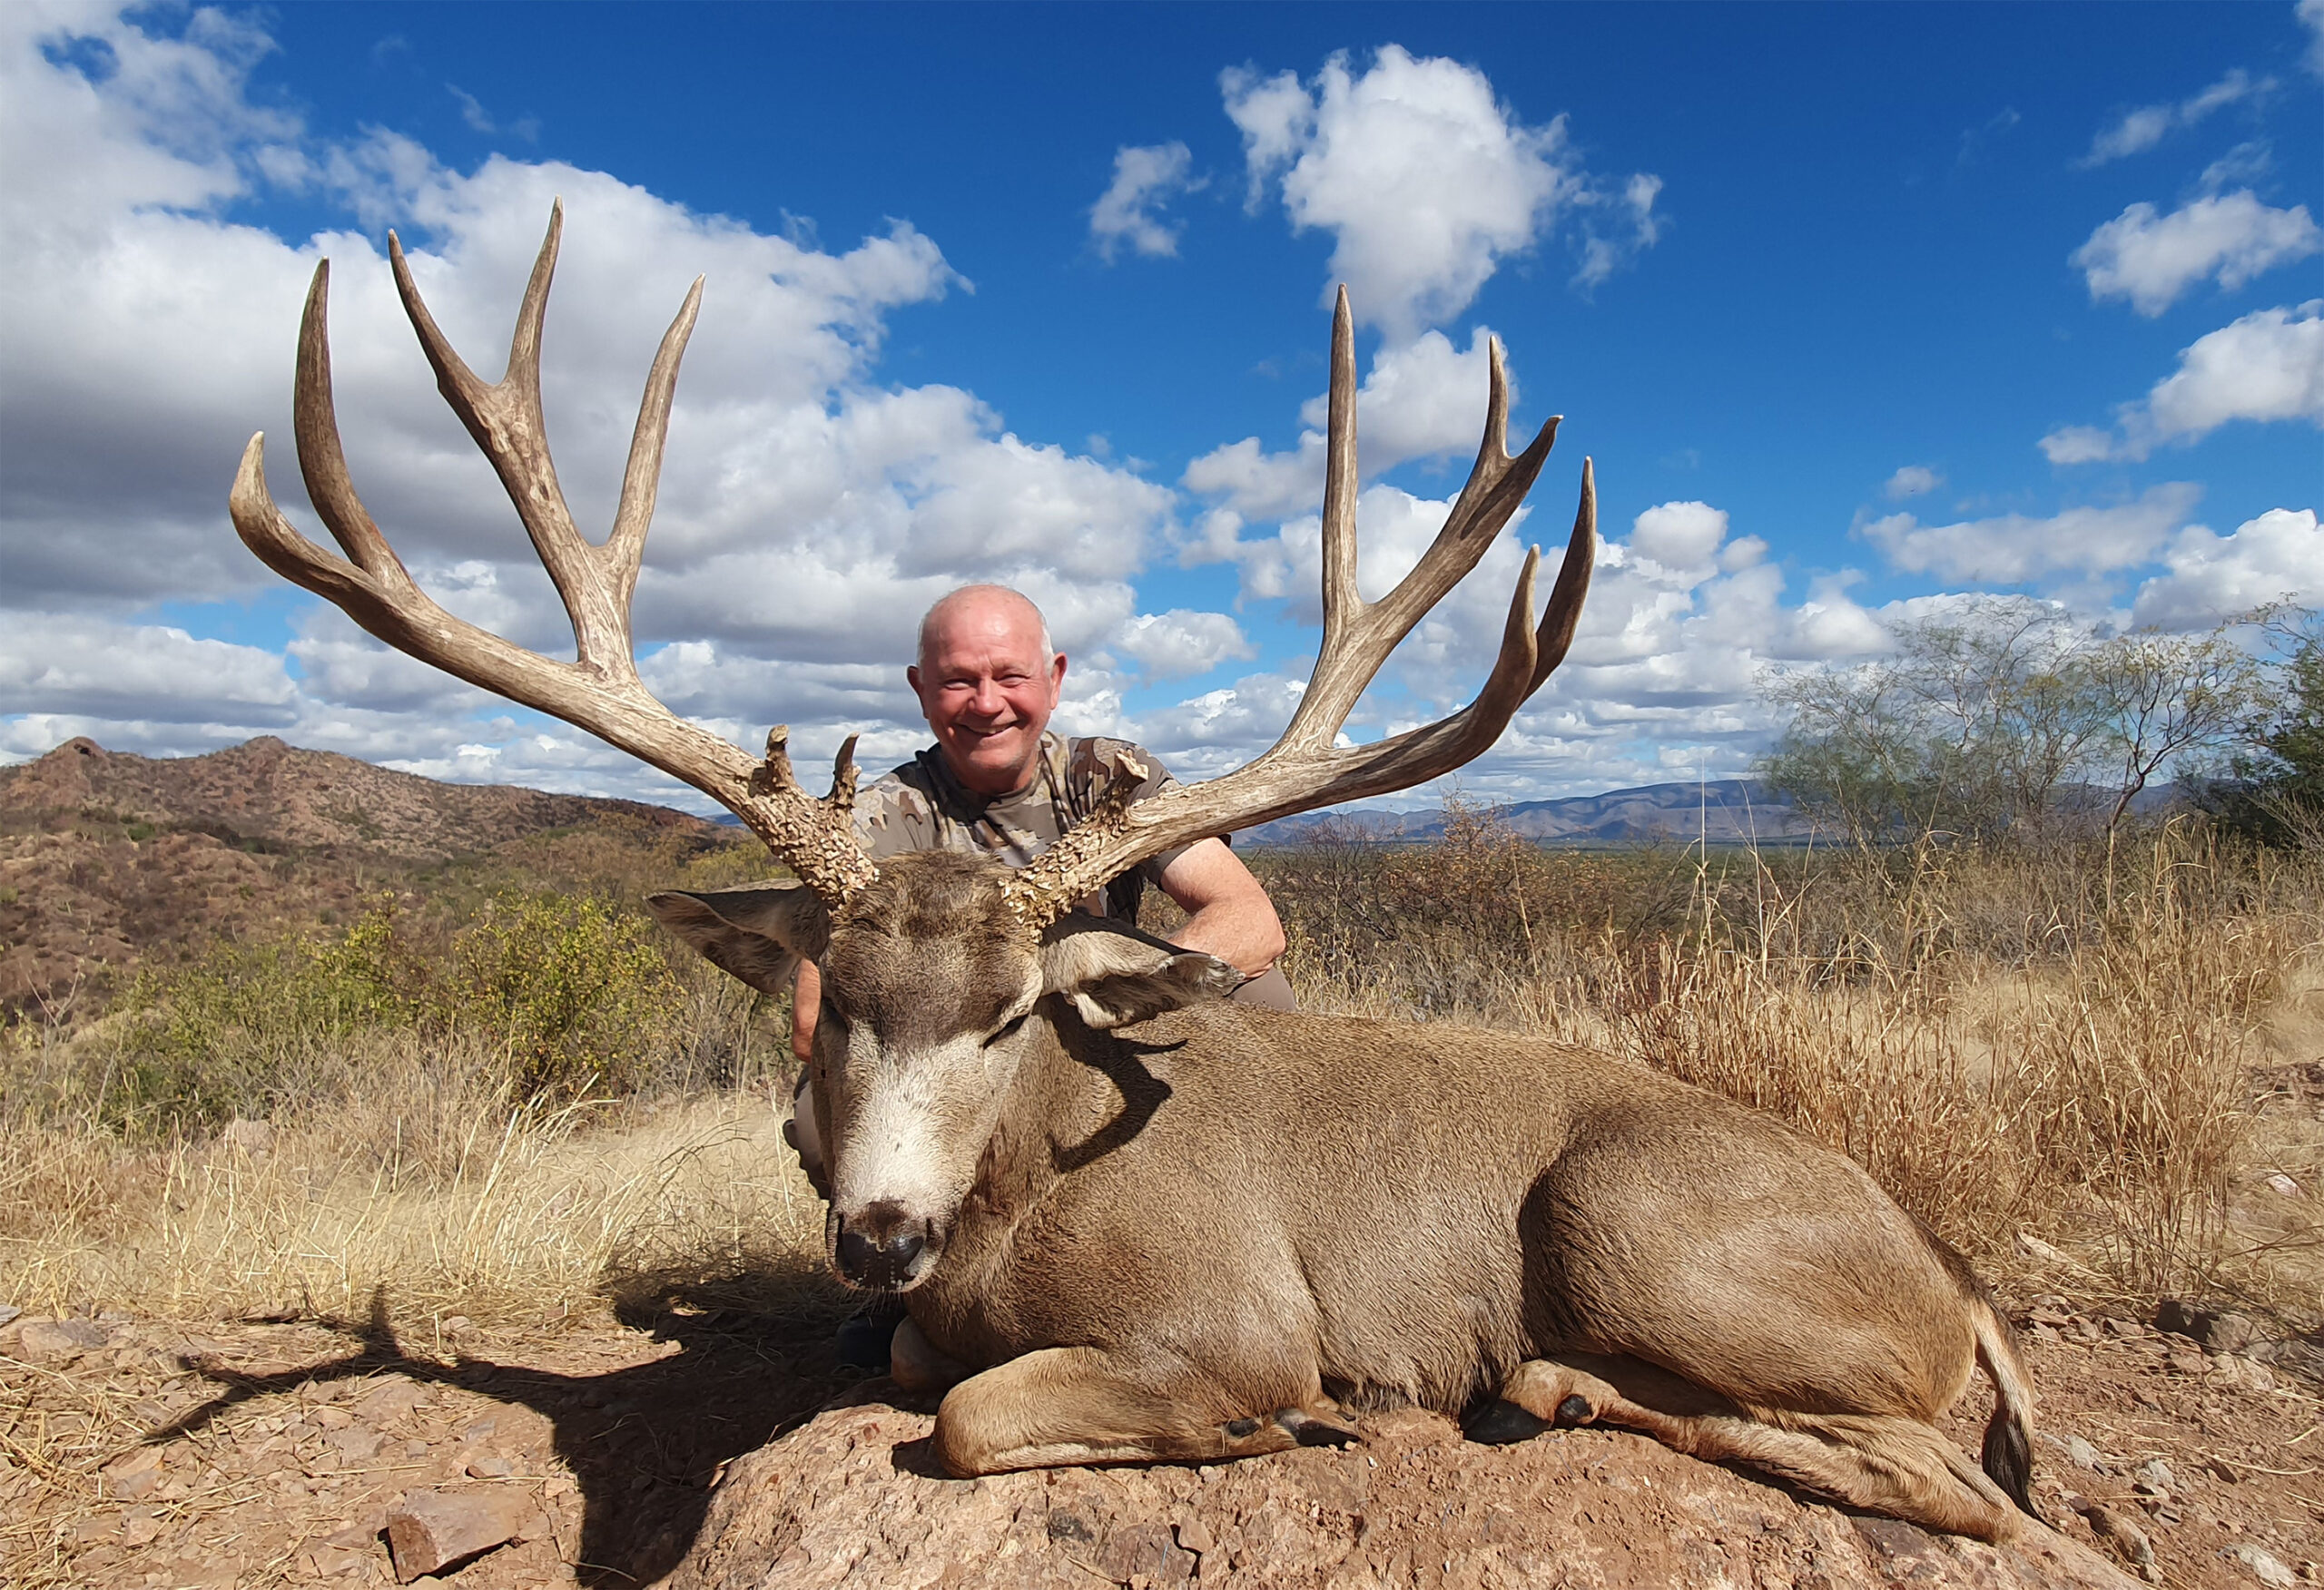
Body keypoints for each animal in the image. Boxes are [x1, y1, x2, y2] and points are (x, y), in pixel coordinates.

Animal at [229, 204, 2043, 1544]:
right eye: (831, 1006)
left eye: (1012, 1012)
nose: (876, 1232)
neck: (1018, 1204)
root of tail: (1956, 1285)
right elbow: (917, 1364)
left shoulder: (1233, 1311)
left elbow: (967, 1414)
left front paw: (1271, 1429)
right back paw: (1553, 1389)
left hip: (1627, 1218)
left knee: (1969, 1491)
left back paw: (1554, 1388)